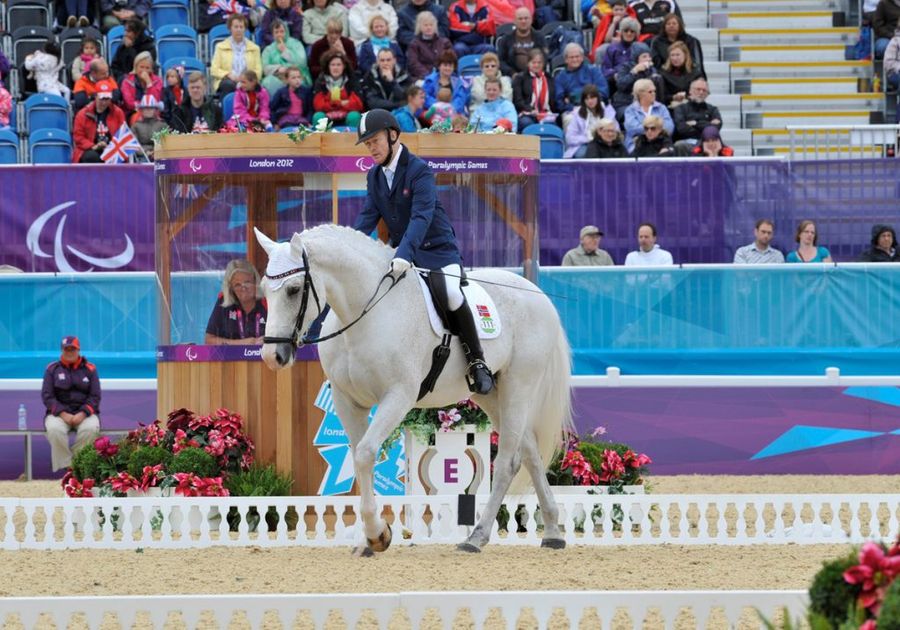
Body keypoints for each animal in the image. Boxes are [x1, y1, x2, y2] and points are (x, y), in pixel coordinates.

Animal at [256, 226, 572, 552]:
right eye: (264, 289)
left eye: (294, 290)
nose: (272, 356)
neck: (365, 312)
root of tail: (537, 294)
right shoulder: (346, 400)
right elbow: (358, 457)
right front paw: (370, 537)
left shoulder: (397, 396)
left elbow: (365, 453)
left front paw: (377, 534)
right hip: (491, 394)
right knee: (531, 453)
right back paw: (552, 532)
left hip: (518, 386)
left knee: (509, 461)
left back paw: (477, 537)